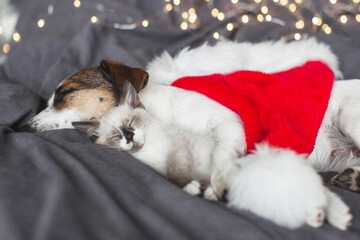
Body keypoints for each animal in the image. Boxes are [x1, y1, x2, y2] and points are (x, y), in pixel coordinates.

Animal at [24, 38, 358, 230]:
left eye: (65, 93)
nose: (23, 127)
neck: (159, 115)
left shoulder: (230, 123)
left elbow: (222, 153)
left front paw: (220, 182)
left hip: (350, 118)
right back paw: (351, 178)